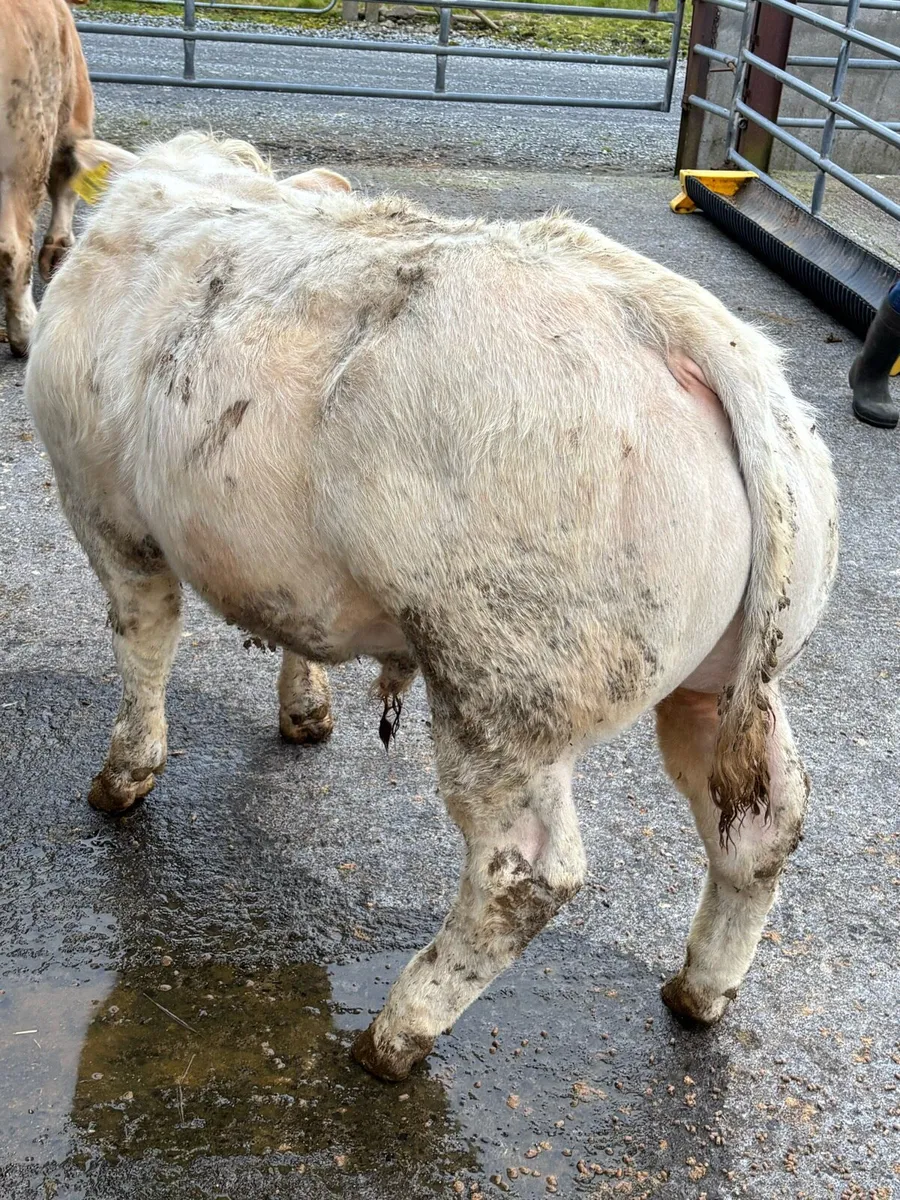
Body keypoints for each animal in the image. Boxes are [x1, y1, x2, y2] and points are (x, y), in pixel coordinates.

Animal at [0, 0, 93, 357]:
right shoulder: (74, 118)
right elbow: (69, 179)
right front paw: (59, 254)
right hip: (24, 149)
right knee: (11, 248)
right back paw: (25, 332)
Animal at [26, 133, 839, 1083]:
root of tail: (696, 331)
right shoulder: (279, 564)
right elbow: (291, 628)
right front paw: (306, 712)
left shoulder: (106, 510)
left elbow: (143, 644)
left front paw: (120, 782)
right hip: (730, 674)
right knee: (766, 822)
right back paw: (698, 993)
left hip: (507, 679)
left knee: (524, 873)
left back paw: (394, 1037)